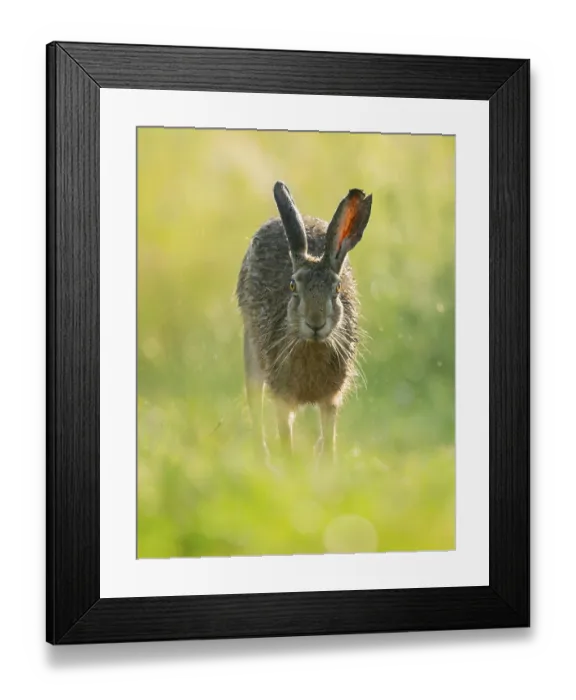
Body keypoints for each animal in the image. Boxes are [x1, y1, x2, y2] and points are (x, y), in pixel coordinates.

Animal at [236, 181, 372, 467]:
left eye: (337, 288)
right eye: (292, 286)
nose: (315, 323)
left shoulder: (331, 399)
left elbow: (329, 438)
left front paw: (327, 465)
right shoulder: (282, 396)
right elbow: (284, 436)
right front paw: (290, 469)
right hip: (251, 354)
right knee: (255, 407)